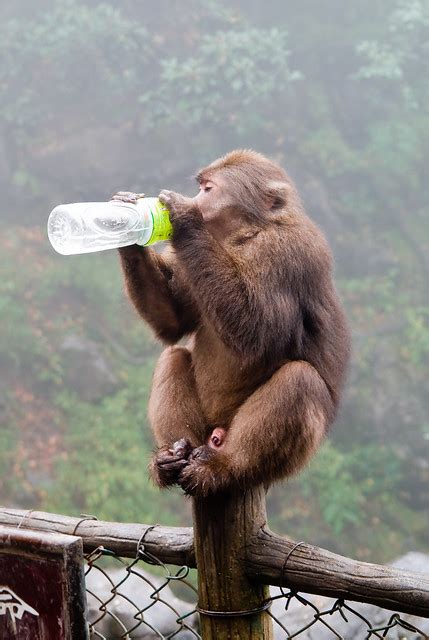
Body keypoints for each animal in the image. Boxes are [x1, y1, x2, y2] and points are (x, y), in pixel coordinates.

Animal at [115, 149, 350, 496]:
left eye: (208, 189)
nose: (196, 199)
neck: (244, 236)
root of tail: (215, 436)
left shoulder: (287, 251)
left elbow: (259, 334)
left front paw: (183, 217)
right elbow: (173, 322)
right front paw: (128, 229)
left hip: (284, 461)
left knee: (300, 380)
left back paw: (225, 467)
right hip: (203, 427)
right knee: (174, 356)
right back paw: (173, 457)